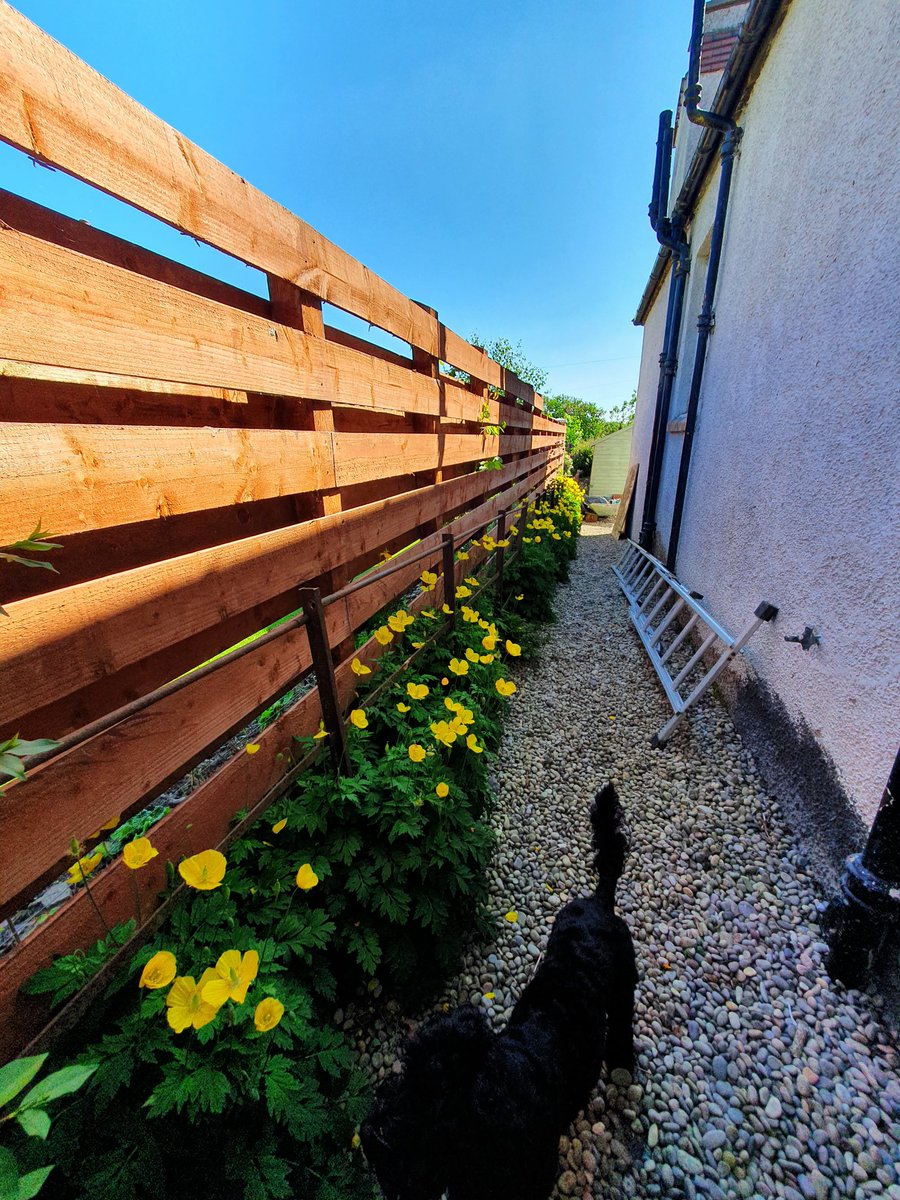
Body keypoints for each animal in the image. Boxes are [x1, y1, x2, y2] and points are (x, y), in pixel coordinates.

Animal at [362, 787, 638, 1200]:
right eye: (406, 1065)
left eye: (424, 1100)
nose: (371, 1127)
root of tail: (599, 900)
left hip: (624, 985)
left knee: (622, 1021)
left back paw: (622, 1060)